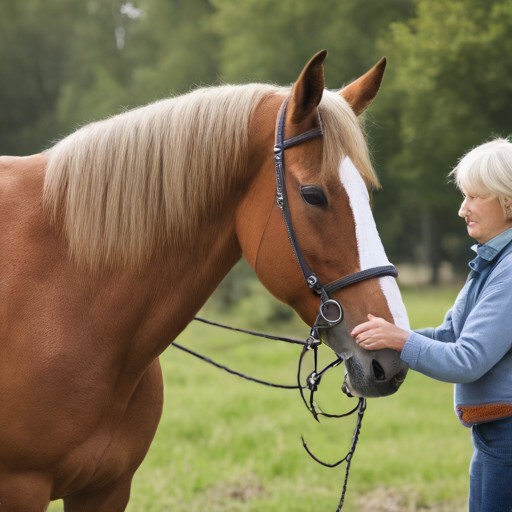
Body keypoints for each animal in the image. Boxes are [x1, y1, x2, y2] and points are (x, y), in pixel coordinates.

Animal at [0, 53, 408, 512]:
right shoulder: (20, 488)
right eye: (312, 195)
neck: (63, 297)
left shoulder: (106, 489)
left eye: (368, 194)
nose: (391, 355)